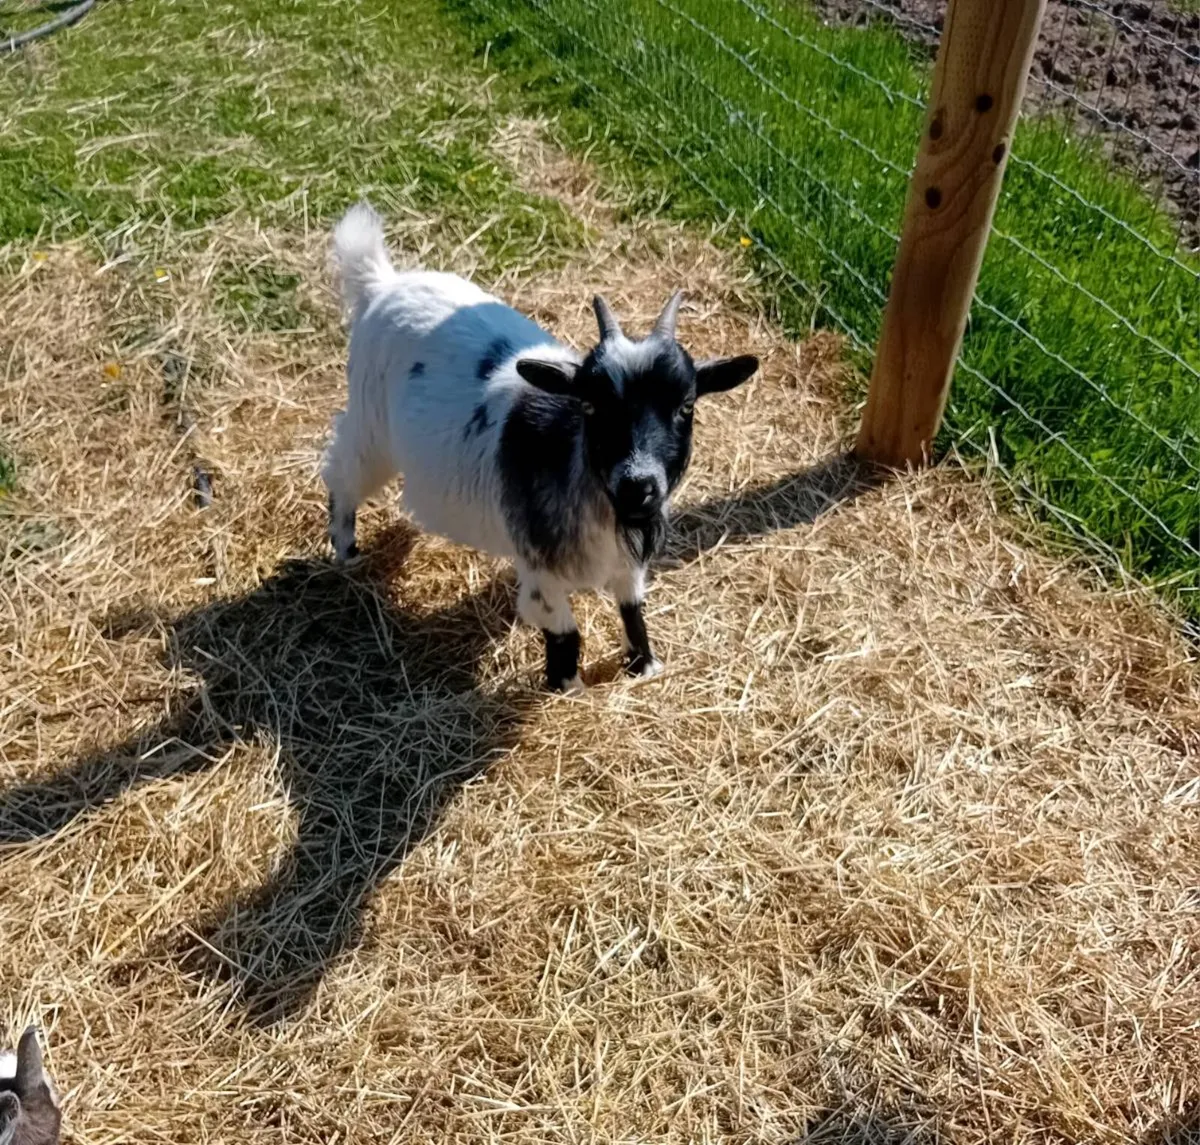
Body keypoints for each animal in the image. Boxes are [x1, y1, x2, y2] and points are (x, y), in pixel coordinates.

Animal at [323, 202, 759, 690]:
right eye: (589, 405)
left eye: (686, 405)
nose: (638, 486)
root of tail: (384, 283)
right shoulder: (540, 573)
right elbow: (564, 631)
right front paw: (565, 686)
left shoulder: (626, 562)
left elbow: (632, 608)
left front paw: (643, 664)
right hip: (371, 426)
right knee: (342, 470)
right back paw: (346, 548)